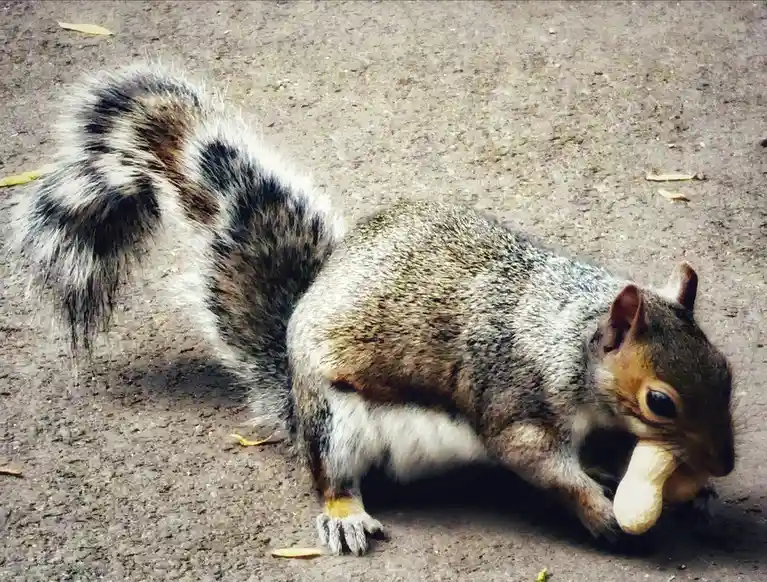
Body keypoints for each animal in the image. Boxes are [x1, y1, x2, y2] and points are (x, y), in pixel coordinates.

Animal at [8, 64, 736, 556]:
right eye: (660, 402)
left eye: (726, 372)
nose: (725, 464)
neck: (566, 332)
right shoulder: (515, 399)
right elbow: (534, 460)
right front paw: (599, 511)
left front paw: (691, 490)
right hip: (336, 422)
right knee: (331, 472)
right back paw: (343, 512)